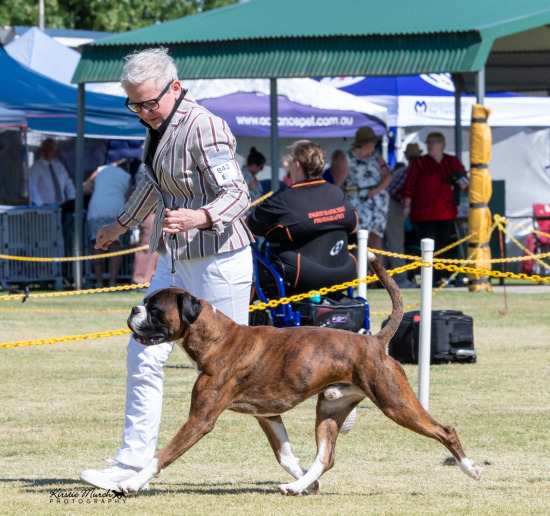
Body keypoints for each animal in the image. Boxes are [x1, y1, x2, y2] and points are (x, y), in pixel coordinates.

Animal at [118, 254, 480, 496]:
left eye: (154, 309)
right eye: (145, 303)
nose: (133, 309)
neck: (217, 339)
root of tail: (375, 341)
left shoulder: (200, 420)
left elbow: (162, 455)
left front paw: (130, 483)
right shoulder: (268, 415)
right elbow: (286, 455)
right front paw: (308, 482)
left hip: (396, 404)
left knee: (444, 430)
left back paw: (471, 468)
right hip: (330, 408)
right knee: (326, 457)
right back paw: (296, 487)